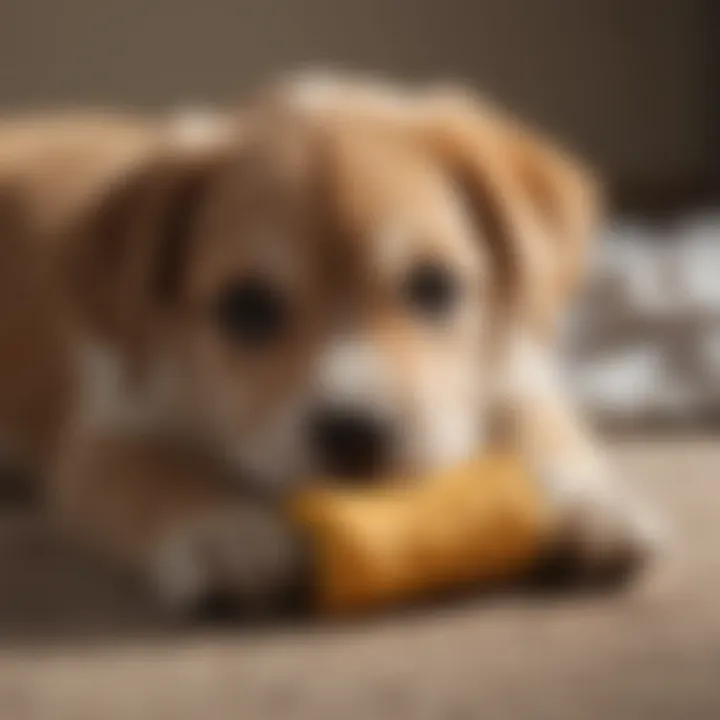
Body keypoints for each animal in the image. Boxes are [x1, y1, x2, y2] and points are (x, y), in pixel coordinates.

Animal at [0, 73, 660, 612]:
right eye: (247, 307)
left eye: (434, 286)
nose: (356, 435)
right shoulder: (112, 431)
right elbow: (158, 478)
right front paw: (227, 532)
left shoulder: (515, 374)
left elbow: (551, 439)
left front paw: (593, 507)